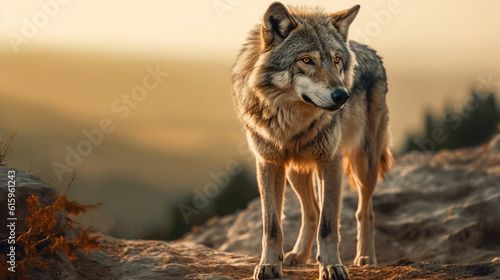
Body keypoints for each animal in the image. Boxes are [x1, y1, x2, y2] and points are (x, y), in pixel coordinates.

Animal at [232, 2, 392, 280]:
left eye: (336, 60)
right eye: (307, 60)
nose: (343, 96)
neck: (291, 121)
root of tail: (372, 52)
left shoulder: (330, 161)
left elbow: (329, 225)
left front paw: (331, 266)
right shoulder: (268, 163)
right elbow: (272, 226)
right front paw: (269, 265)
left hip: (364, 164)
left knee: (365, 211)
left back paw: (365, 258)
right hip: (296, 171)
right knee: (311, 211)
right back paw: (298, 255)